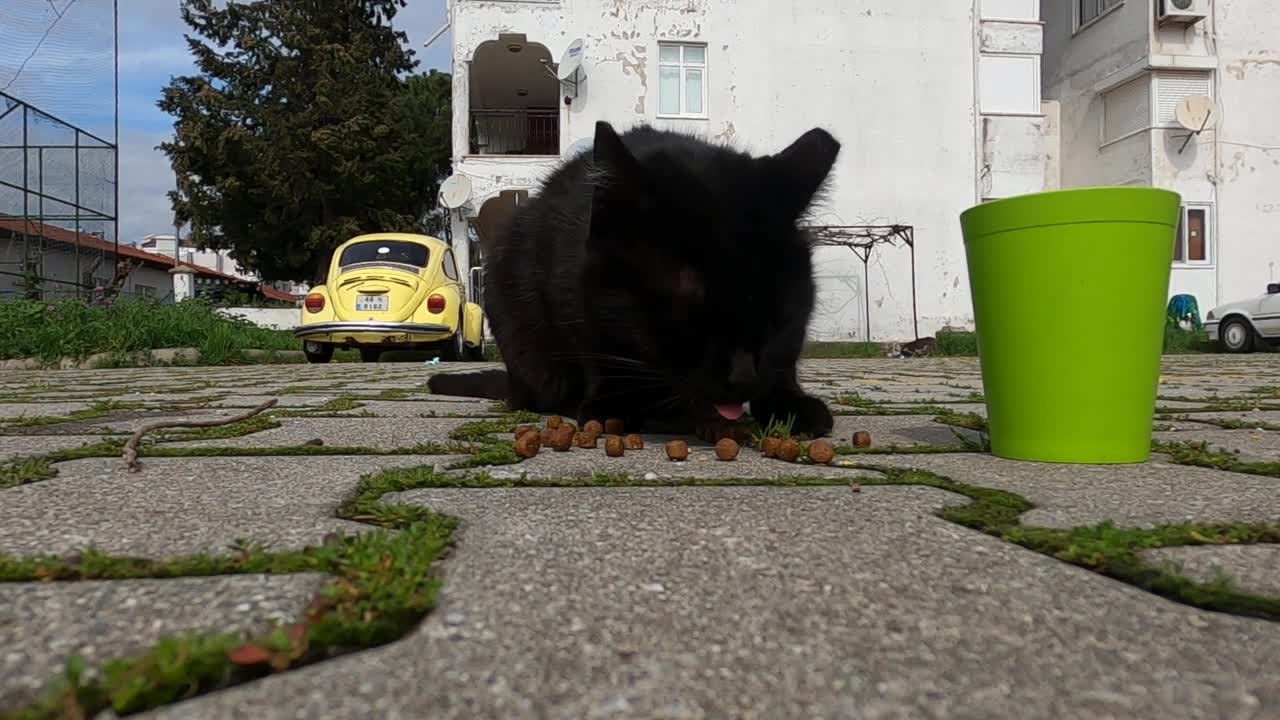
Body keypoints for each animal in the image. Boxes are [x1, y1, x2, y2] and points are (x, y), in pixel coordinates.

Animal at [432, 120, 839, 435]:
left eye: (782, 309)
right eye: (688, 303)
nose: (743, 377)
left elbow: (784, 363)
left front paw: (790, 403)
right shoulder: (565, 288)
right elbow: (593, 346)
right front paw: (612, 405)